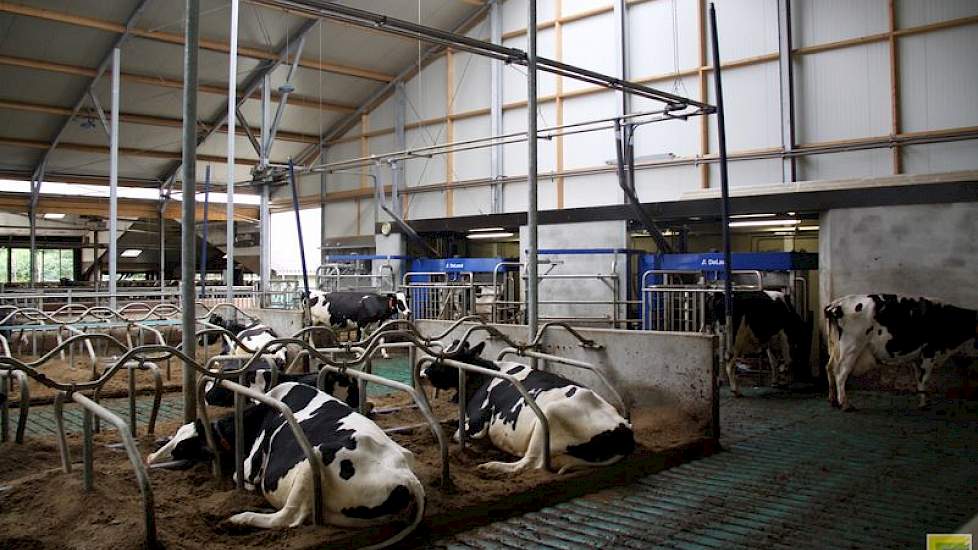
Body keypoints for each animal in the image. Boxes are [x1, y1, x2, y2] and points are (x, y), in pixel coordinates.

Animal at [147, 384, 422, 540]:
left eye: (183, 446)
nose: (150, 459)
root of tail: (407, 478)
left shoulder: (250, 467)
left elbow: (241, 477)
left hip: (314, 459)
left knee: (288, 518)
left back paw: (241, 518)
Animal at [420, 342, 632, 476]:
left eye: (446, 359)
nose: (424, 372)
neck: (483, 375)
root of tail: (623, 428)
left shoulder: (477, 422)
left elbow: (458, 435)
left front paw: (475, 447)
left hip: (549, 417)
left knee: (528, 464)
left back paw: (491, 466)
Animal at [824, 296, 976, 412]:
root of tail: (836, 303)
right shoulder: (929, 352)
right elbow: (925, 378)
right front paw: (924, 405)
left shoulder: (918, 356)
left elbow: (919, 379)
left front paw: (922, 401)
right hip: (851, 347)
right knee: (840, 374)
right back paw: (845, 404)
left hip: (835, 347)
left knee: (830, 368)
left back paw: (833, 400)